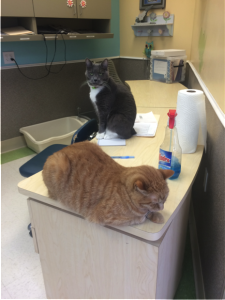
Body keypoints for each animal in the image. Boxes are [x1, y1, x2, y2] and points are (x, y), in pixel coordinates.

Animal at [42, 142, 174, 226]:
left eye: (165, 199)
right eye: (155, 202)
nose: (162, 208)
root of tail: (61, 149)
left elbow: (149, 213)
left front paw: (156, 215)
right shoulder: (106, 216)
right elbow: (140, 218)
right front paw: (146, 215)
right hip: (59, 164)